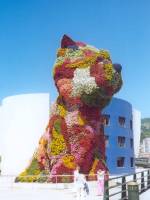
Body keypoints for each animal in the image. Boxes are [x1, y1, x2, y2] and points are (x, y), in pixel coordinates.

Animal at [15, 35, 122, 182]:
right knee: (36, 167)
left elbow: (99, 158)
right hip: (38, 158)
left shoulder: (99, 137)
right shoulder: (58, 129)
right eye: (99, 59)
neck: (86, 112)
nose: (118, 66)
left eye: (109, 59)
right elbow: (64, 155)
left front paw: (99, 172)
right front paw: (62, 175)